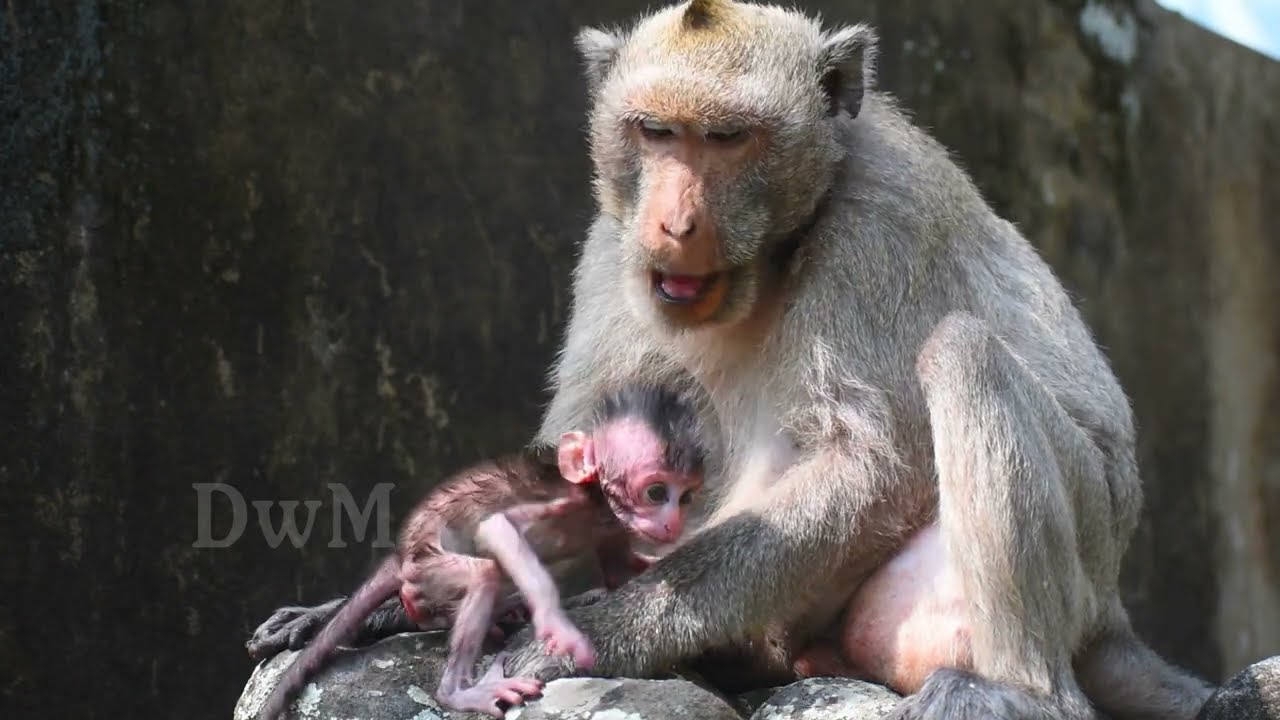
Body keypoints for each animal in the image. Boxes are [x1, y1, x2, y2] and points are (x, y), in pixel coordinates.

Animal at [253, 383, 707, 720]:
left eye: (685, 498)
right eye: (655, 492)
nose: (672, 522)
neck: (596, 504)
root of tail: (404, 553)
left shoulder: (612, 527)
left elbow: (618, 573)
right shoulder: (565, 504)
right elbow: (497, 529)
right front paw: (555, 623)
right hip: (429, 570)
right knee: (483, 573)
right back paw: (457, 692)